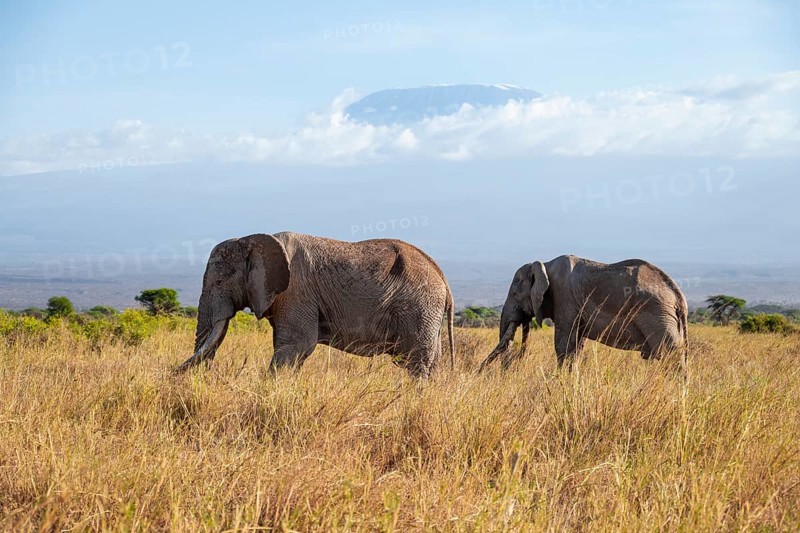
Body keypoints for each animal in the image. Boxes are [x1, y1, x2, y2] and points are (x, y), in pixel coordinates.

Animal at [176, 232, 455, 378]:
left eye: (219, 281)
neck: (252, 240)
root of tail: (444, 280)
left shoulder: (296, 292)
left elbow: (296, 345)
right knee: (431, 362)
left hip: (418, 308)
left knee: (415, 364)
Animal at [479, 255, 688, 370]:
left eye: (515, 294)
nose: (479, 372)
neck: (544, 264)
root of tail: (679, 297)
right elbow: (576, 347)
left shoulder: (564, 298)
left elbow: (564, 346)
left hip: (656, 313)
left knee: (669, 353)